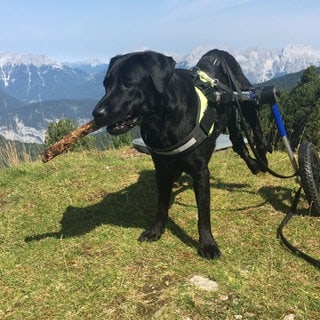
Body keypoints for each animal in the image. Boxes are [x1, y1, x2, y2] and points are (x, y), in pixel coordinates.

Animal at [92, 48, 268, 258]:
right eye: (105, 84)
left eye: (128, 83)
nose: (97, 113)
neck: (162, 123)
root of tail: (217, 52)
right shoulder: (162, 171)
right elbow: (161, 204)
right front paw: (156, 231)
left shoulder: (201, 173)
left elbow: (203, 213)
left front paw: (208, 244)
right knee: (238, 143)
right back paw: (254, 164)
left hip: (246, 100)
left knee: (256, 132)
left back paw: (262, 159)